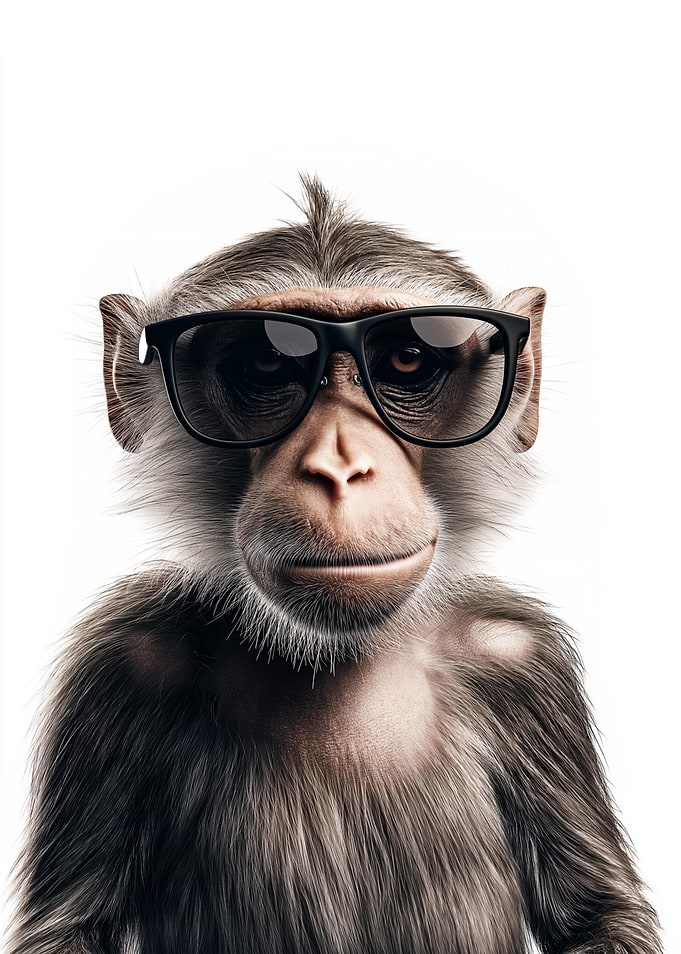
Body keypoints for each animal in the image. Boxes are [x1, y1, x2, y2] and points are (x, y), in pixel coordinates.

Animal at [5, 175, 662, 954]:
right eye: (264, 363)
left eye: (407, 359)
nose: (339, 463)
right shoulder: (119, 664)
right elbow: (69, 923)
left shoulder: (522, 663)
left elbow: (600, 910)